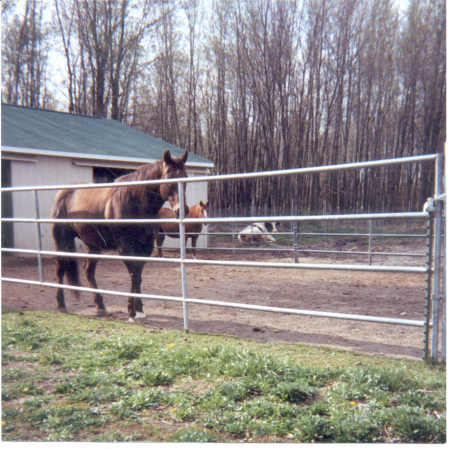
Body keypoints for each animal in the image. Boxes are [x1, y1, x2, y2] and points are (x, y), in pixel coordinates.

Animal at [51, 149, 188, 320]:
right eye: (170, 177)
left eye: (186, 177)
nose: (182, 210)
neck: (134, 203)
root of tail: (62, 193)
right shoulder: (125, 248)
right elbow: (134, 275)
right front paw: (131, 311)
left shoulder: (146, 248)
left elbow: (138, 276)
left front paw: (139, 309)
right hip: (62, 240)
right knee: (60, 268)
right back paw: (61, 305)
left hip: (93, 245)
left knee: (88, 271)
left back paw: (101, 307)